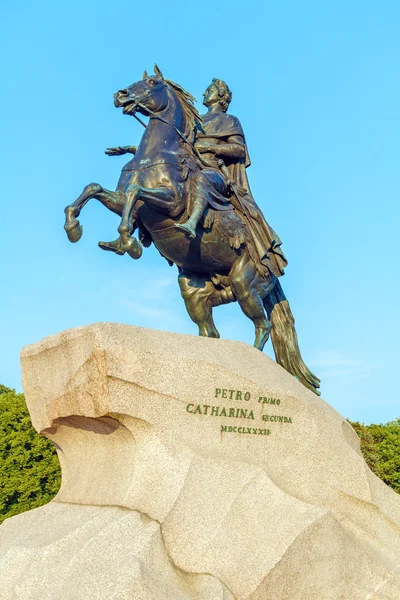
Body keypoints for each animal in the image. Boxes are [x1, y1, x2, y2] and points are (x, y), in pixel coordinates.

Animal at [64, 68, 320, 396]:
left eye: (151, 83)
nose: (120, 95)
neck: (155, 155)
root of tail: (273, 268)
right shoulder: (120, 200)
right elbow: (94, 189)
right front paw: (74, 227)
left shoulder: (171, 203)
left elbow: (135, 193)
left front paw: (126, 242)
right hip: (196, 291)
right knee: (210, 331)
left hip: (245, 284)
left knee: (263, 327)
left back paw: (254, 365)